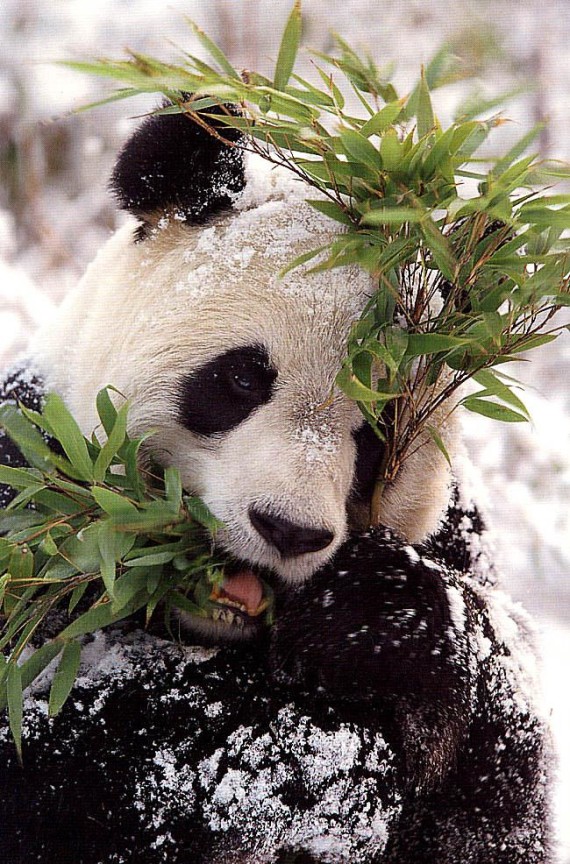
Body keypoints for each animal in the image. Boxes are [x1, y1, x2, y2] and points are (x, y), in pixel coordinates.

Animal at [0, 103, 552, 864]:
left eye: (378, 430)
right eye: (240, 379)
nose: (288, 530)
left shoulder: (458, 538)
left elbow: (495, 799)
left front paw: (371, 618)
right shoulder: (32, 505)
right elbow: (100, 754)